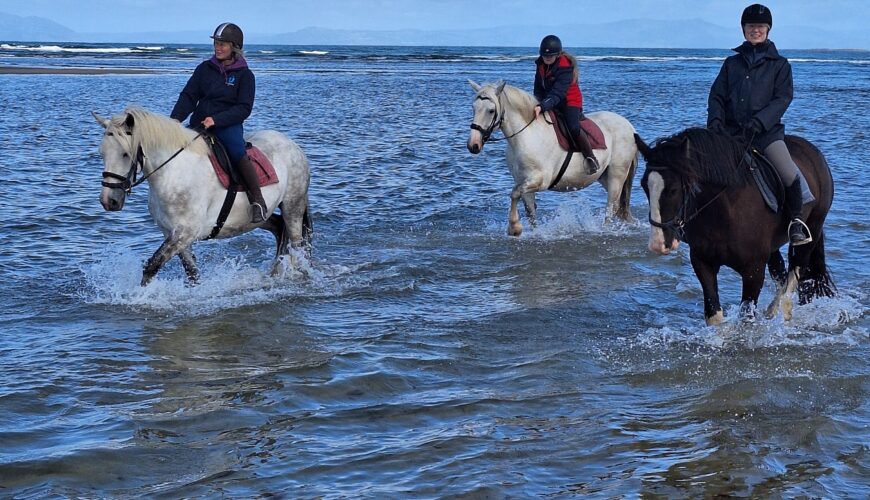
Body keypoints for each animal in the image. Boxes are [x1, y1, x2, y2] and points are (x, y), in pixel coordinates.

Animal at [94, 105, 314, 286]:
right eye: (102, 153)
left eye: (125, 154)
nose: (109, 201)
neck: (173, 174)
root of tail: (293, 145)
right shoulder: (172, 234)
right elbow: (192, 273)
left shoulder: (185, 233)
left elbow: (151, 267)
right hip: (254, 218)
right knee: (278, 227)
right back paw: (274, 274)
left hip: (293, 206)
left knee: (296, 245)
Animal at [470, 80, 640, 236]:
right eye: (473, 107)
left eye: (491, 110)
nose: (473, 145)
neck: (527, 136)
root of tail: (629, 126)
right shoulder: (523, 180)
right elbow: (529, 209)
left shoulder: (540, 181)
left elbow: (514, 193)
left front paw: (514, 227)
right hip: (605, 177)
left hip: (616, 176)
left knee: (611, 207)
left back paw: (605, 230)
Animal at [632, 127, 836, 326]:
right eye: (644, 186)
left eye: (673, 189)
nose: (658, 244)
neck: (723, 212)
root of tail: (814, 152)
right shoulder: (703, 262)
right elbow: (714, 316)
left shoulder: (753, 272)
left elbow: (746, 319)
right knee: (781, 274)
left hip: (813, 228)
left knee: (795, 271)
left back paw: (779, 311)